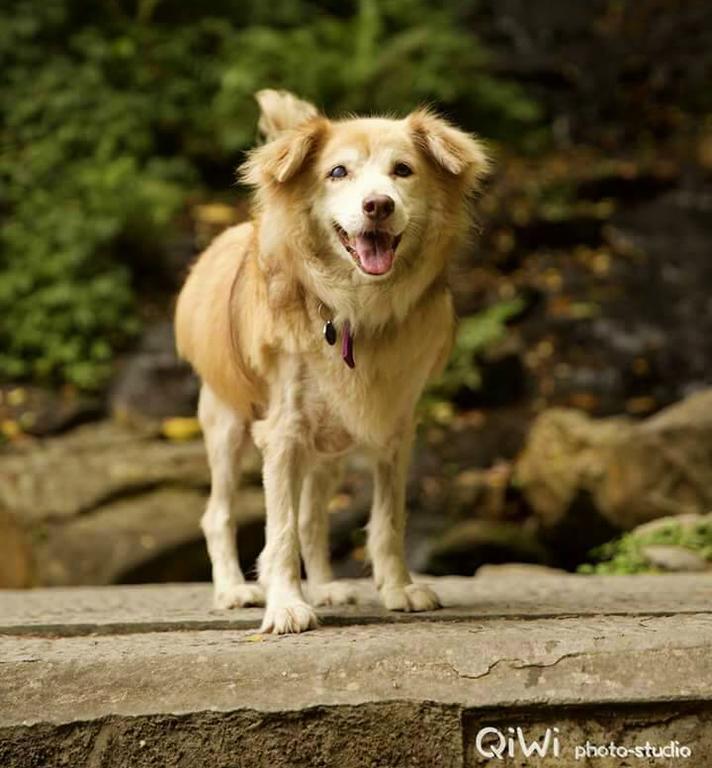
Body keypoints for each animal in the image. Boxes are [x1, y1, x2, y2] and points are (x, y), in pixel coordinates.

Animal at [175, 90, 492, 632]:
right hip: (227, 423)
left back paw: (323, 587)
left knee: (312, 517)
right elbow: (279, 531)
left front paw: (398, 587)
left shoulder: (393, 428)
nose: (378, 205)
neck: (353, 309)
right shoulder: (282, 433)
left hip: (330, 449)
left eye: (403, 170)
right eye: (338, 172)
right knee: (218, 514)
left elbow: (386, 520)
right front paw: (285, 604)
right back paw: (234, 589)